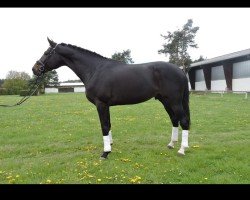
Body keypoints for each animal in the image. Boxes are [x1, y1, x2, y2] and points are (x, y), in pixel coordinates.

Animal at [32, 38, 190, 159]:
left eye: (46, 53)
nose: (35, 69)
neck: (94, 70)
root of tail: (180, 71)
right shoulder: (106, 105)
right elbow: (109, 124)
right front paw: (110, 144)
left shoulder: (101, 104)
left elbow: (104, 126)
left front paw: (105, 152)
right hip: (166, 101)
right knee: (174, 120)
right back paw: (171, 144)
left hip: (175, 102)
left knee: (183, 121)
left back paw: (182, 149)